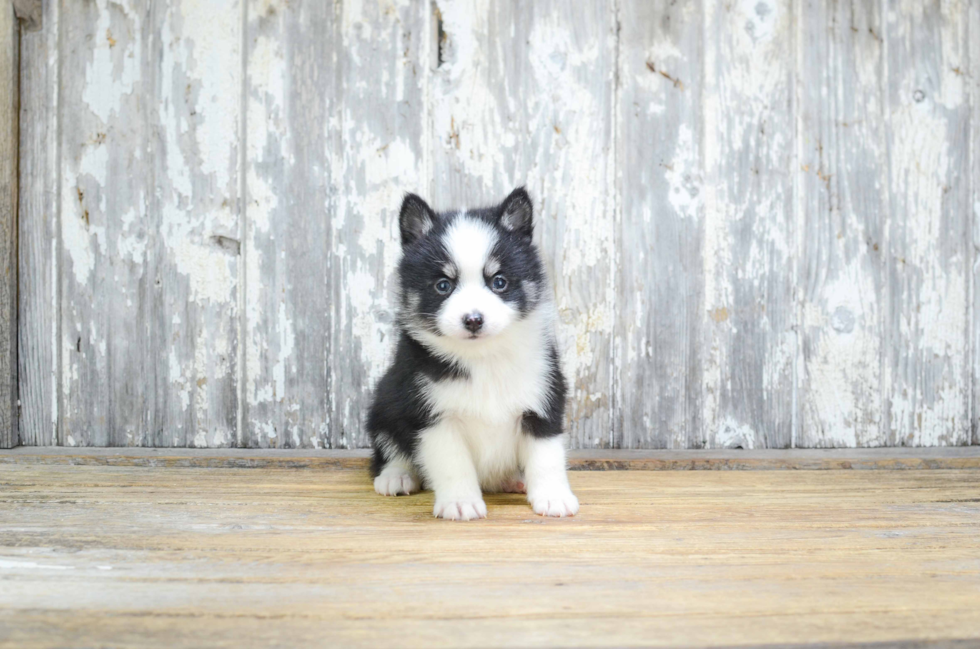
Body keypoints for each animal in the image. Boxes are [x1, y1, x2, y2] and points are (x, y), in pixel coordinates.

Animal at [368, 185, 580, 520]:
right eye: (443, 285)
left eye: (499, 282)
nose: (473, 319)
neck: (483, 357)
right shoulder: (432, 415)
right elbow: (453, 463)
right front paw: (460, 502)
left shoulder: (544, 398)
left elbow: (547, 455)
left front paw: (553, 497)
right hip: (384, 403)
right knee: (388, 446)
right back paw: (396, 475)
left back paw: (512, 479)